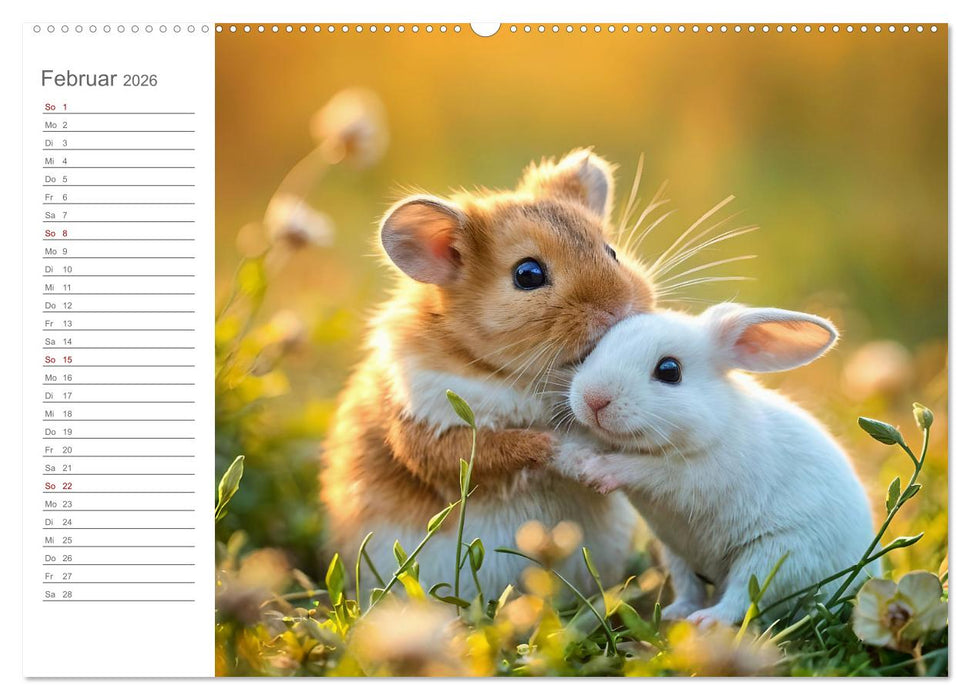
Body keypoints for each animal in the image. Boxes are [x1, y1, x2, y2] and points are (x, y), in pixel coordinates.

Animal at [321, 150, 656, 600]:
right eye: (527, 274)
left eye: (612, 251)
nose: (620, 309)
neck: (528, 378)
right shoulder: (433, 432)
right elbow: (520, 446)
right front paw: (582, 460)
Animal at [556, 304, 877, 627]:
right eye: (595, 349)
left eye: (669, 370)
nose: (594, 398)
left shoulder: (690, 477)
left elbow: (642, 470)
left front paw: (596, 471)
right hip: (679, 556)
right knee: (691, 591)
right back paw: (674, 615)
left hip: (775, 557)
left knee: (741, 602)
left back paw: (704, 620)